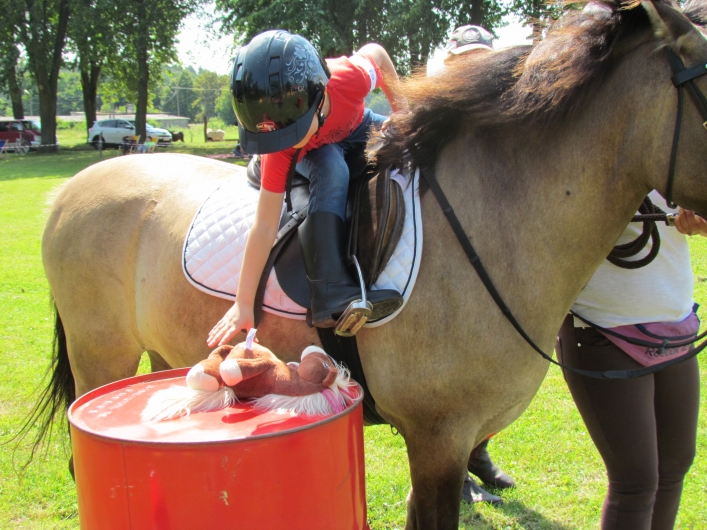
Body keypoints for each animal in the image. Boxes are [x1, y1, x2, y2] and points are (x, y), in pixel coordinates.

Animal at [33, 1, 707, 528]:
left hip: (158, 349)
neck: (492, 222)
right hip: (101, 357)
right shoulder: (437, 442)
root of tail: (69, 189)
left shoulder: (448, 444)